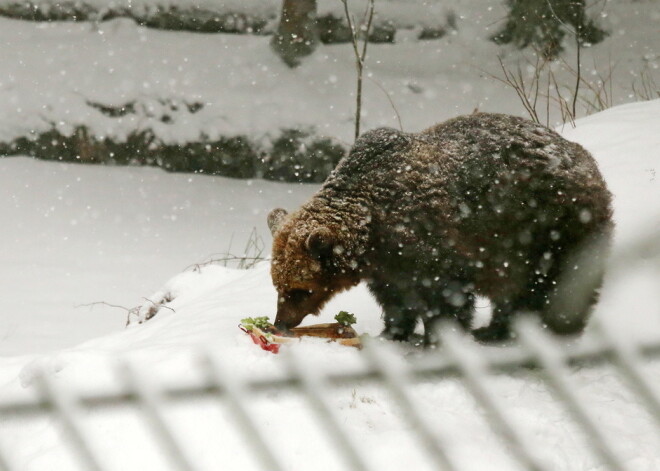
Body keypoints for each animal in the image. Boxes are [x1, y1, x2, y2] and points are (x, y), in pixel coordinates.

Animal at [264, 113, 612, 344]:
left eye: (301, 289)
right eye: (278, 285)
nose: (280, 322)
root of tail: (585, 159)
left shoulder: (431, 240)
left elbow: (445, 296)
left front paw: (437, 337)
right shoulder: (387, 264)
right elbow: (395, 298)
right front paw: (393, 332)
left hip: (547, 227)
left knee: (555, 283)